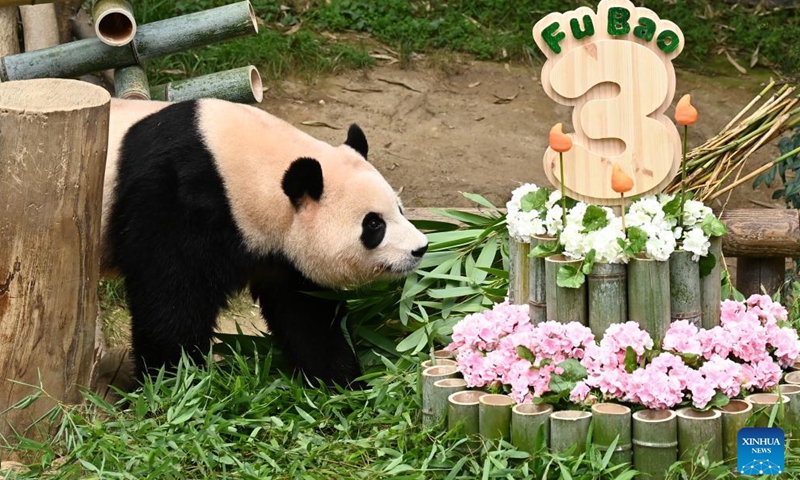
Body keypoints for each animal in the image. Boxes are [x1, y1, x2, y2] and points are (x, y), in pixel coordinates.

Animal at [103, 97, 428, 386]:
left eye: (399, 209)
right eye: (374, 224)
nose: (420, 248)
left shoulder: (281, 253)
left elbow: (304, 312)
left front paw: (343, 382)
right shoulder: (178, 202)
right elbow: (171, 298)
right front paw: (173, 380)